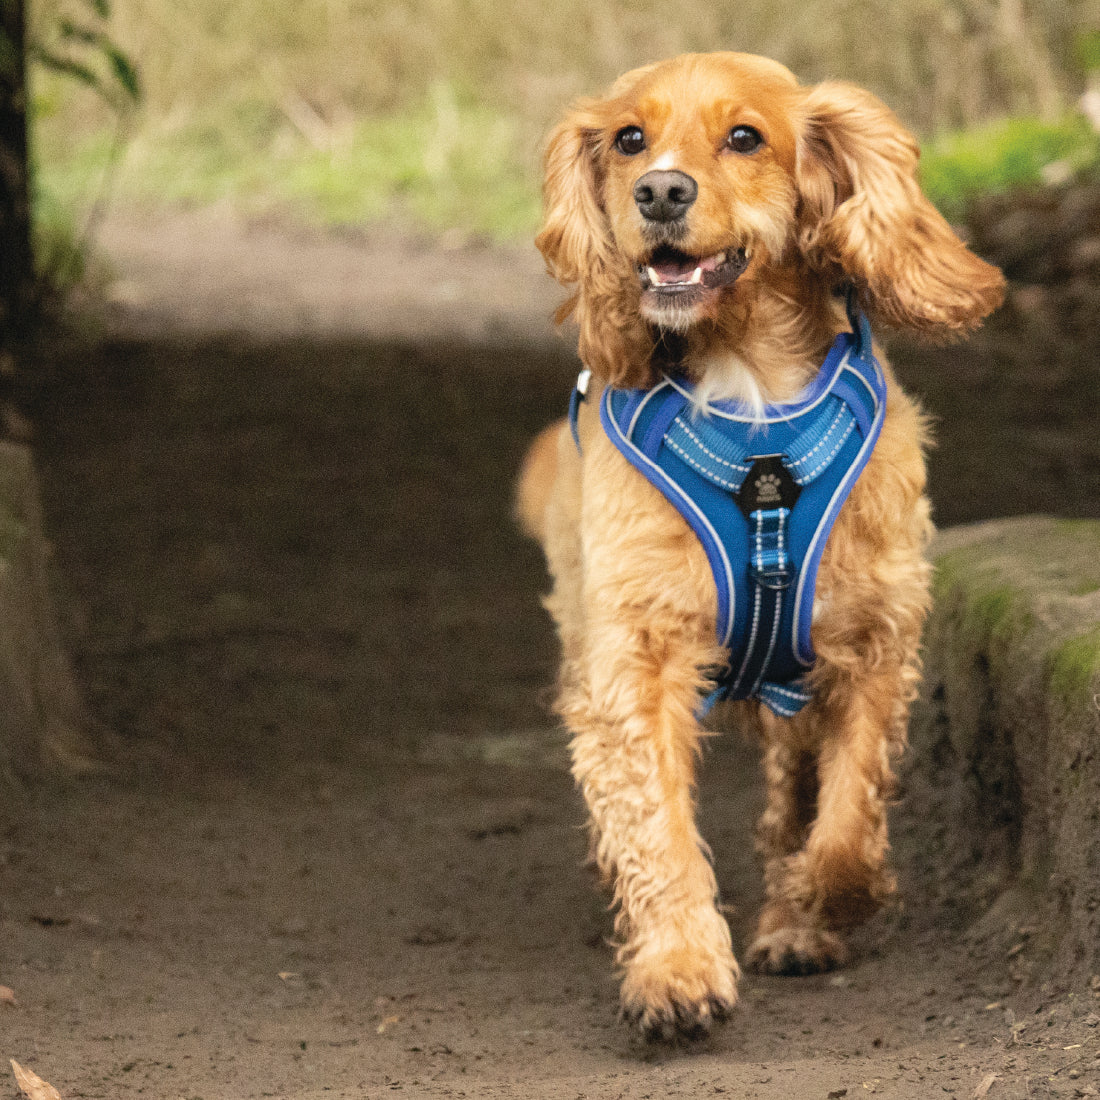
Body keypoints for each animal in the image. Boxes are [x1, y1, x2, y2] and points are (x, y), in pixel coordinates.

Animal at [517, 53, 1007, 1038]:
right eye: (629, 139)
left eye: (745, 137)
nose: (661, 190)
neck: (748, 392)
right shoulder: (635, 656)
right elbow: (655, 825)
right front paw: (676, 969)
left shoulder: (871, 644)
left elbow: (847, 822)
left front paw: (816, 902)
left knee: (794, 793)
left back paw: (793, 920)